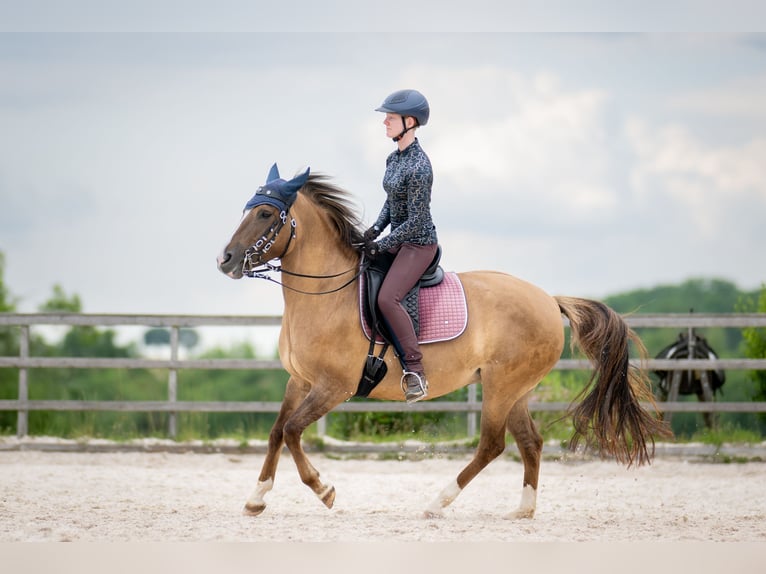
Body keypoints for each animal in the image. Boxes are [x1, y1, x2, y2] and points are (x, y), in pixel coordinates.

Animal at [216, 166, 672, 520]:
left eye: (264, 213)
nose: (225, 260)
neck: (326, 294)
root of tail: (548, 299)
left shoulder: (333, 387)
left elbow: (293, 430)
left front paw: (323, 489)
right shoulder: (300, 381)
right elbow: (277, 432)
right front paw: (256, 499)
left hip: (500, 387)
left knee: (492, 445)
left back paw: (438, 502)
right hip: (516, 391)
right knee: (530, 442)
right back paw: (522, 510)